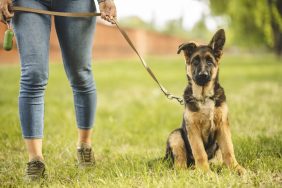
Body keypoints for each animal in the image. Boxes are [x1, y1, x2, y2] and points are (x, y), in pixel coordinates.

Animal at [164, 29, 246, 175]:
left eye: (209, 62)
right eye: (195, 62)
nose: (203, 75)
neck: (204, 96)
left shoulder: (222, 125)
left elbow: (229, 150)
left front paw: (236, 168)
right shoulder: (193, 129)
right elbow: (200, 152)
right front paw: (205, 172)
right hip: (176, 135)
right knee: (180, 163)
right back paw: (189, 171)